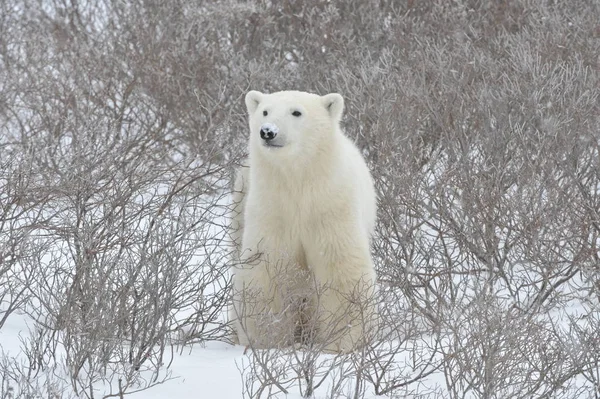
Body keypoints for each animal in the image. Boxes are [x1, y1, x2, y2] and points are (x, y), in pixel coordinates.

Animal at [232, 90, 378, 354]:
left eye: (296, 112)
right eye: (265, 111)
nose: (268, 131)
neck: (298, 179)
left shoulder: (330, 205)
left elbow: (339, 266)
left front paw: (343, 340)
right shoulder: (271, 207)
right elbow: (266, 267)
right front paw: (267, 340)